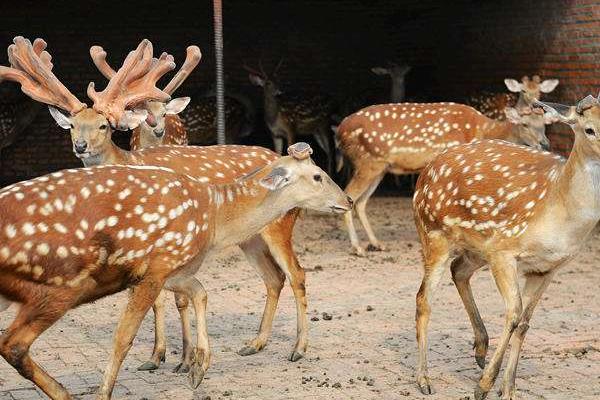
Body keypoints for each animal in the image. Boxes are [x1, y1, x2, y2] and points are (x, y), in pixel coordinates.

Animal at [0, 144, 352, 400]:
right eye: (318, 176)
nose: (347, 199)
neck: (214, 217)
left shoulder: (172, 269)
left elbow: (200, 292)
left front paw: (196, 368)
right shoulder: (158, 267)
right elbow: (123, 337)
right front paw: (106, 392)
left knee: (280, 276)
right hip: (59, 287)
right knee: (13, 344)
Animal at [338, 101, 552, 255]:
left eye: (544, 125)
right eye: (524, 124)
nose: (545, 143)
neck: (483, 130)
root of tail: (339, 131)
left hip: (380, 167)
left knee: (361, 202)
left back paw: (376, 244)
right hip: (368, 161)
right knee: (350, 196)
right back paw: (358, 248)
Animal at [412, 94, 600, 400]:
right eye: (589, 129)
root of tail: (425, 172)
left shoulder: (547, 268)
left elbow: (524, 323)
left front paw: (508, 389)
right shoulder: (503, 249)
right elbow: (513, 314)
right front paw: (483, 387)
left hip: (476, 247)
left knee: (459, 271)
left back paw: (480, 348)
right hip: (434, 233)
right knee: (424, 299)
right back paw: (424, 379)